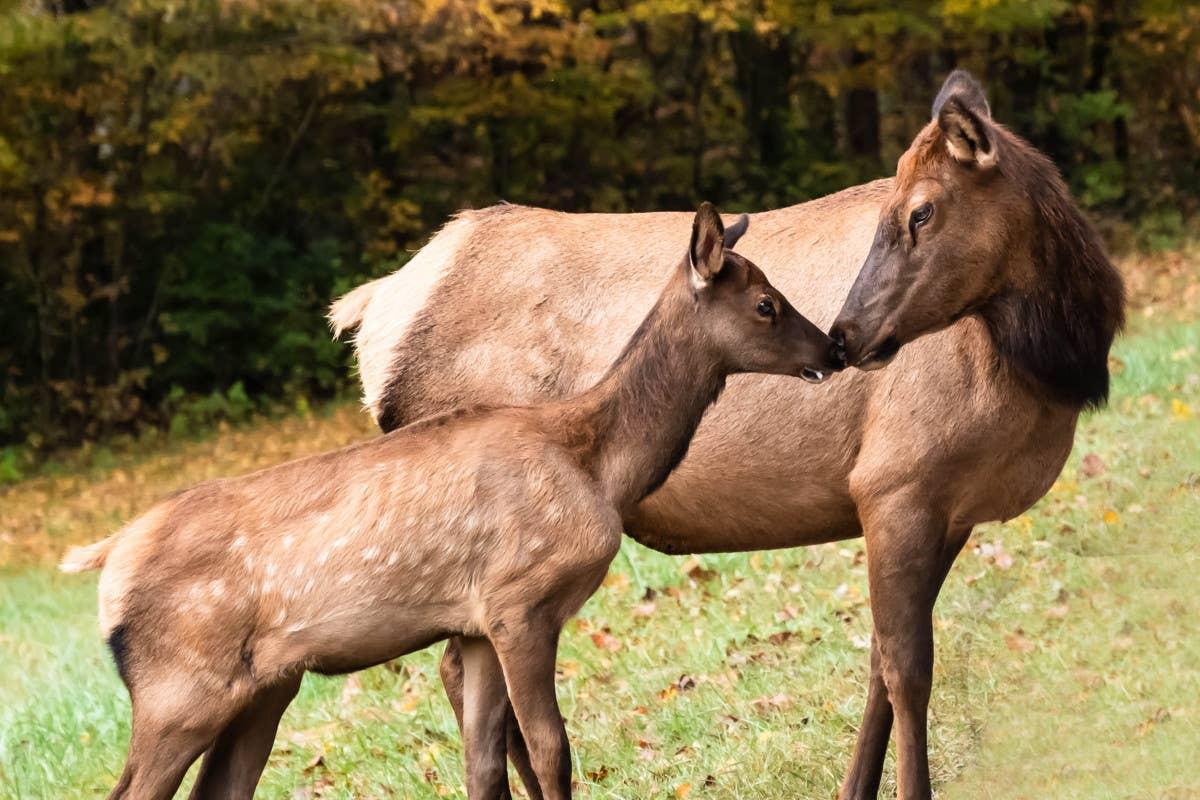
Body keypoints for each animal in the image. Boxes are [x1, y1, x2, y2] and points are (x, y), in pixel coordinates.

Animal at [60, 203, 843, 800]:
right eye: (766, 304)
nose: (833, 349)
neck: (597, 464)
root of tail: (105, 559)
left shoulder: (472, 624)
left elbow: (482, 762)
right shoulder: (519, 599)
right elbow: (552, 748)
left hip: (262, 687)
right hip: (178, 687)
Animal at [329, 71, 1125, 800]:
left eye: (921, 212)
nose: (847, 336)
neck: (1049, 366)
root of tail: (370, 315)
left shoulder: (950, 509)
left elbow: (877, 660)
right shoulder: (896, 480)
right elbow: (908, 670)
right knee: (468, 676)